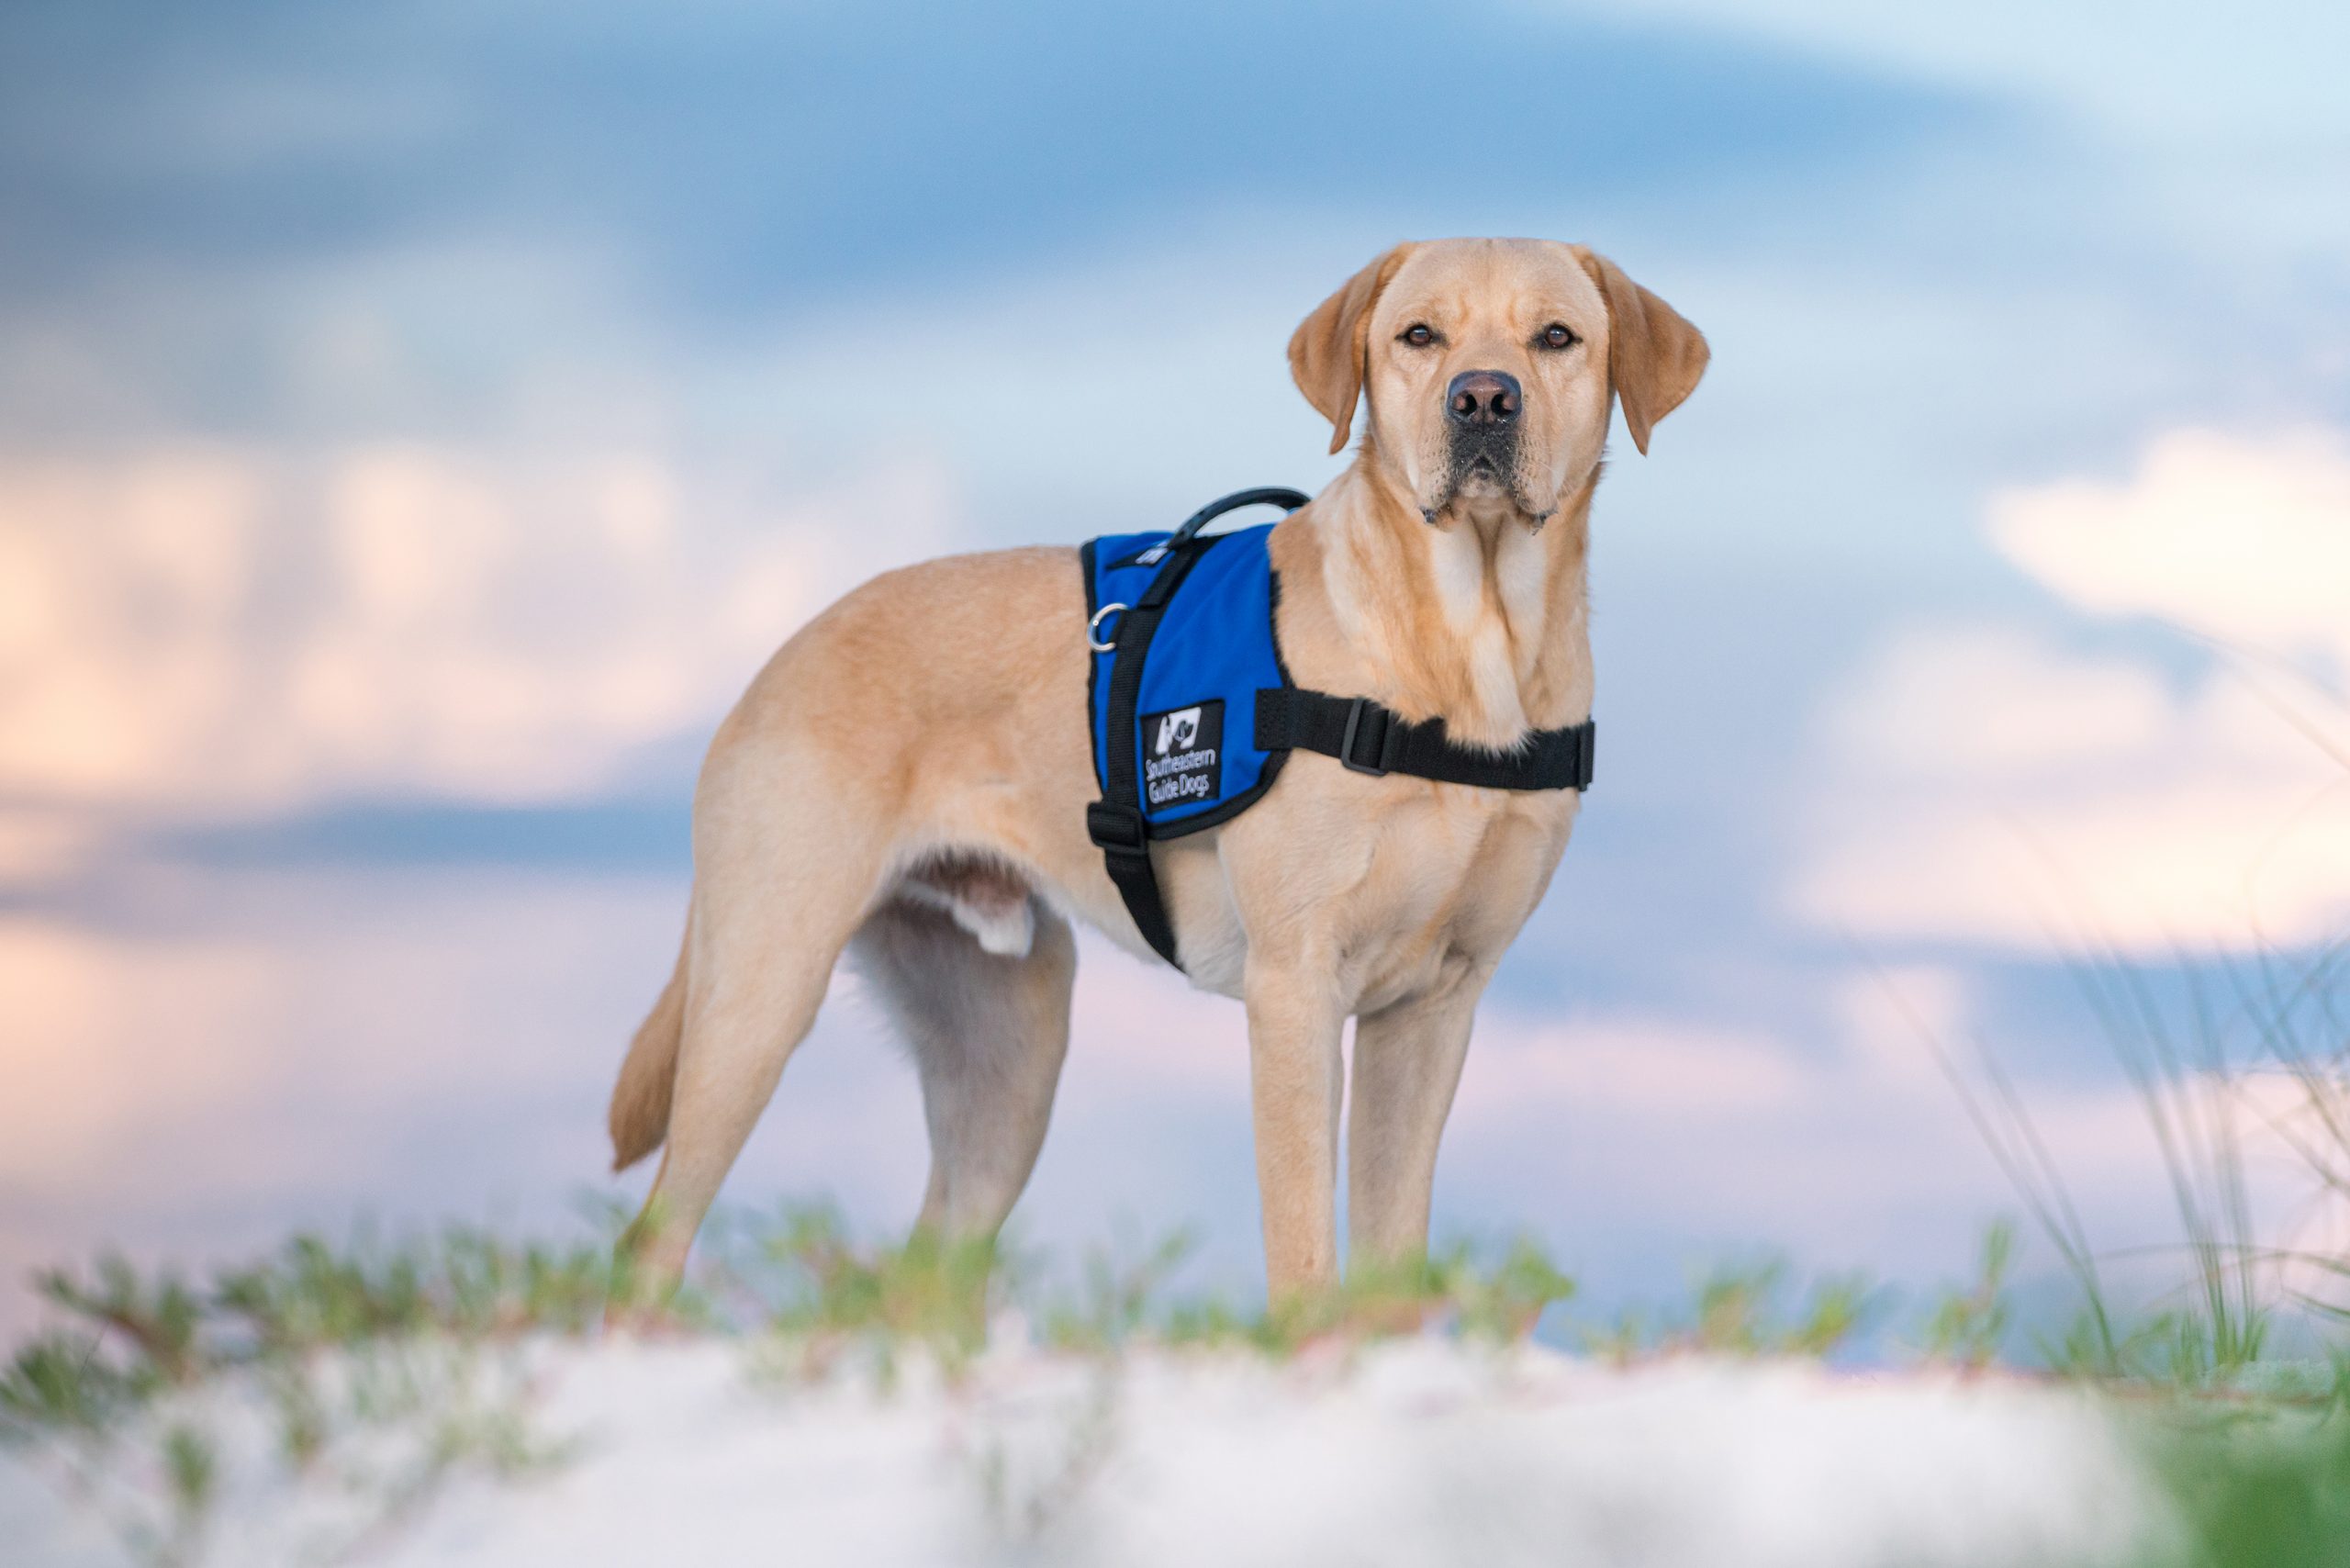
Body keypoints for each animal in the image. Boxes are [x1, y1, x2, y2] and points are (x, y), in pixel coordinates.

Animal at [606, 236, 1710, 1297]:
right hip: (759, 1001)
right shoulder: (1294, 989)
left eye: (1557, 337)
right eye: (1419, 336)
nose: (1483, 397)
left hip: (1009, 1058)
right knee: (650, 1241)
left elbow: (1391, 1266)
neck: (1467, 643)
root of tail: (783, 651)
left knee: (920, 1271)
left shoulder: (1433, 1010)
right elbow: (1304, 1253)